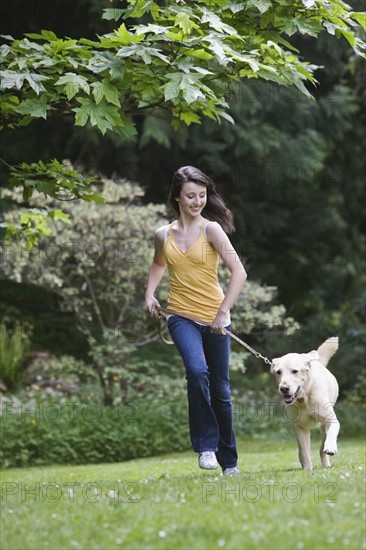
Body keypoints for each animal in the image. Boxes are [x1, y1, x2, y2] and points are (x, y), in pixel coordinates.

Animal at [270, 338, 338, 472]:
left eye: (295, 371)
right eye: (278, 372)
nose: (284, 388)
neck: (304, 399)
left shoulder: (330, 419)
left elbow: (332, 432)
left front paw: (331, 447)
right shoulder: (300, 427)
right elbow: (304, 450)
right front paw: (307, 468)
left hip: (322, 427)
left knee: (322, 447)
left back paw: (326, 463)